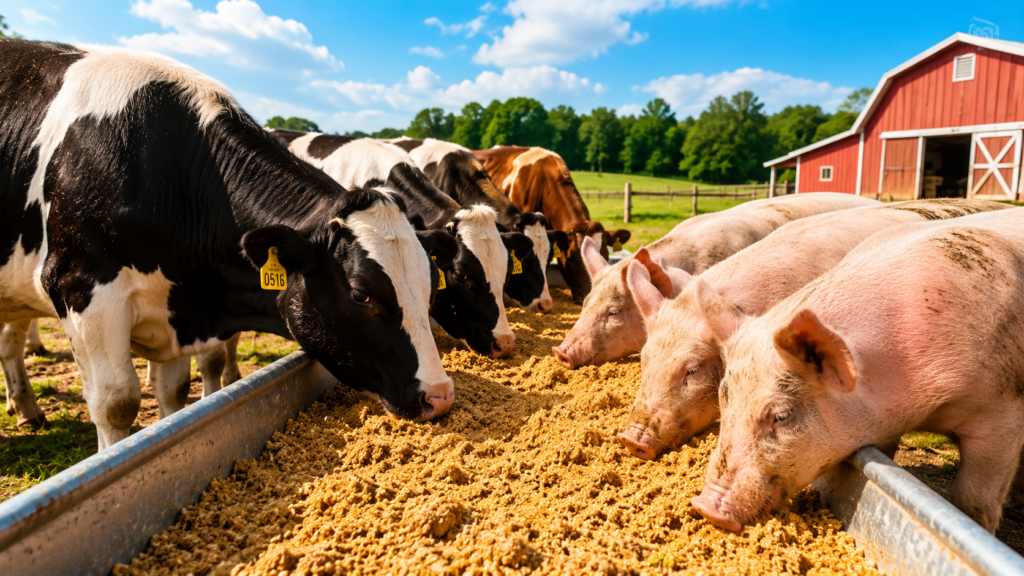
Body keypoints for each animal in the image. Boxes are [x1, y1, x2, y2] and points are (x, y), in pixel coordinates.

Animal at [0, 41, 456, 449]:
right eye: (361, 295)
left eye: (430, 283)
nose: (439, 396)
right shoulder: (80, 290)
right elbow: (116, 404)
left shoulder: (175, 308)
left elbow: (175, 394)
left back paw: (27, 410)